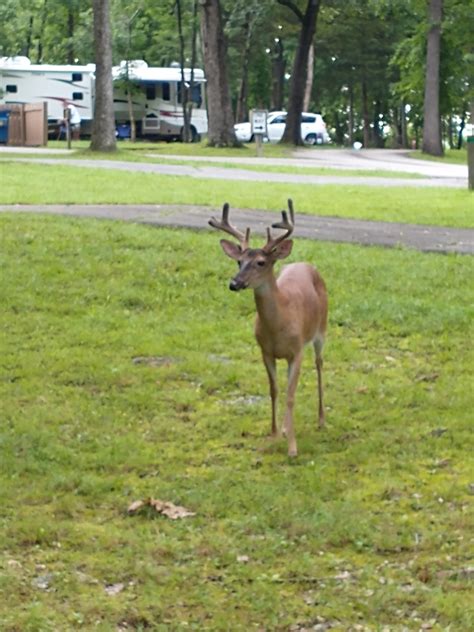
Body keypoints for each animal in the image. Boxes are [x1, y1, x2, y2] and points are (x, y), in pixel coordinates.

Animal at [209, 200, 328, 456]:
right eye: (239, 261)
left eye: (261, 262)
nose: (234, 283)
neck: (278, 325)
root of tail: (305, 264)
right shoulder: (265, 351)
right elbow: (274, 390)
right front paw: (274, 436)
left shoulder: (297, 351)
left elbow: (291, 395)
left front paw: (292, 447)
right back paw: (285, 427)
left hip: (321, 330)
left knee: (320, 365)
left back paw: (321, 419)